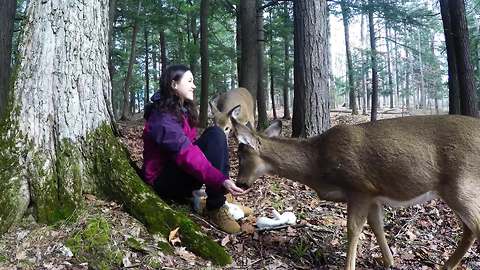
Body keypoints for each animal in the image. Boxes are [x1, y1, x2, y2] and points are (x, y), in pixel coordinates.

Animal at [231, 115, 478, 270]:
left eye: (241, 155)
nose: (239, 183)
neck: (317, 164)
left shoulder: (359, 187)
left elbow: (353, 229)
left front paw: (349, 266)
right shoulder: (374, 195)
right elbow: (377, 226)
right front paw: (390, 262)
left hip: (462, 184)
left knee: (475, 227)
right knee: (469, 230)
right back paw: (447, 265)